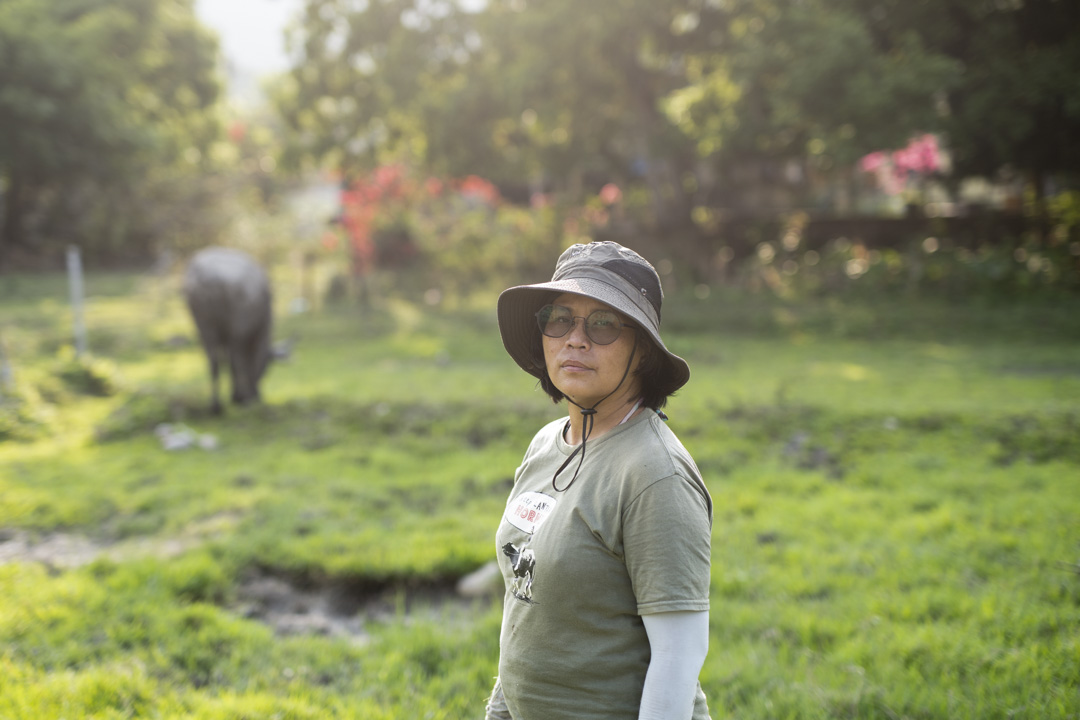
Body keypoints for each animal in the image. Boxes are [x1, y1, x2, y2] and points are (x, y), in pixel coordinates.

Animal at [185, 248, 285, 414]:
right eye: (266, 370)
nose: (257, 395)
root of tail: (211, 279)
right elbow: (238, 362)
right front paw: (240, 396)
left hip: (204, 326)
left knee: (214, 362)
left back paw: (216, 406)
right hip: (237, 328)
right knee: (236, 360)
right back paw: (237, 399)